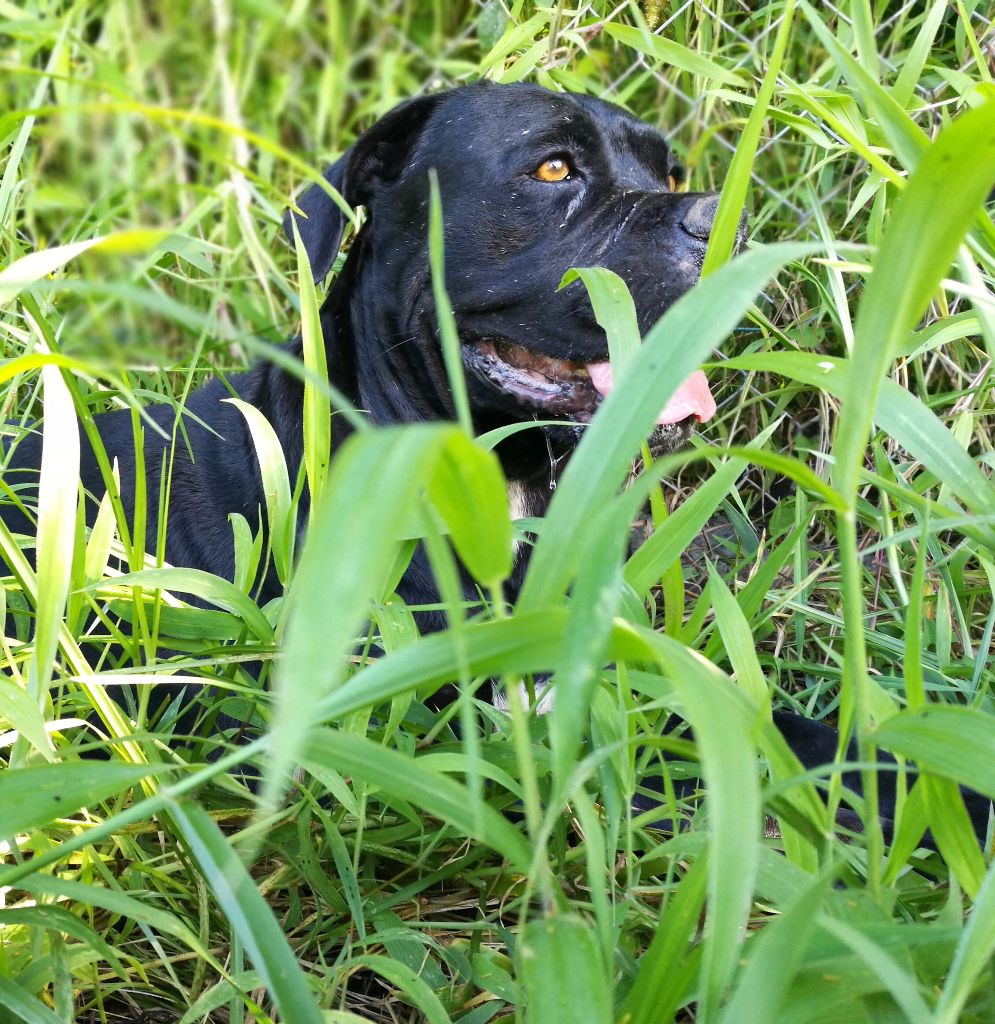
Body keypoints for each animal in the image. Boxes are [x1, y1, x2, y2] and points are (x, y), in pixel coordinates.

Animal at [1, 79, 986, 843]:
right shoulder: (482, 711)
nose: (726, 221)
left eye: (666, 171)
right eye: (552, 169)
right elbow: (735, 744)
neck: (498, 477)